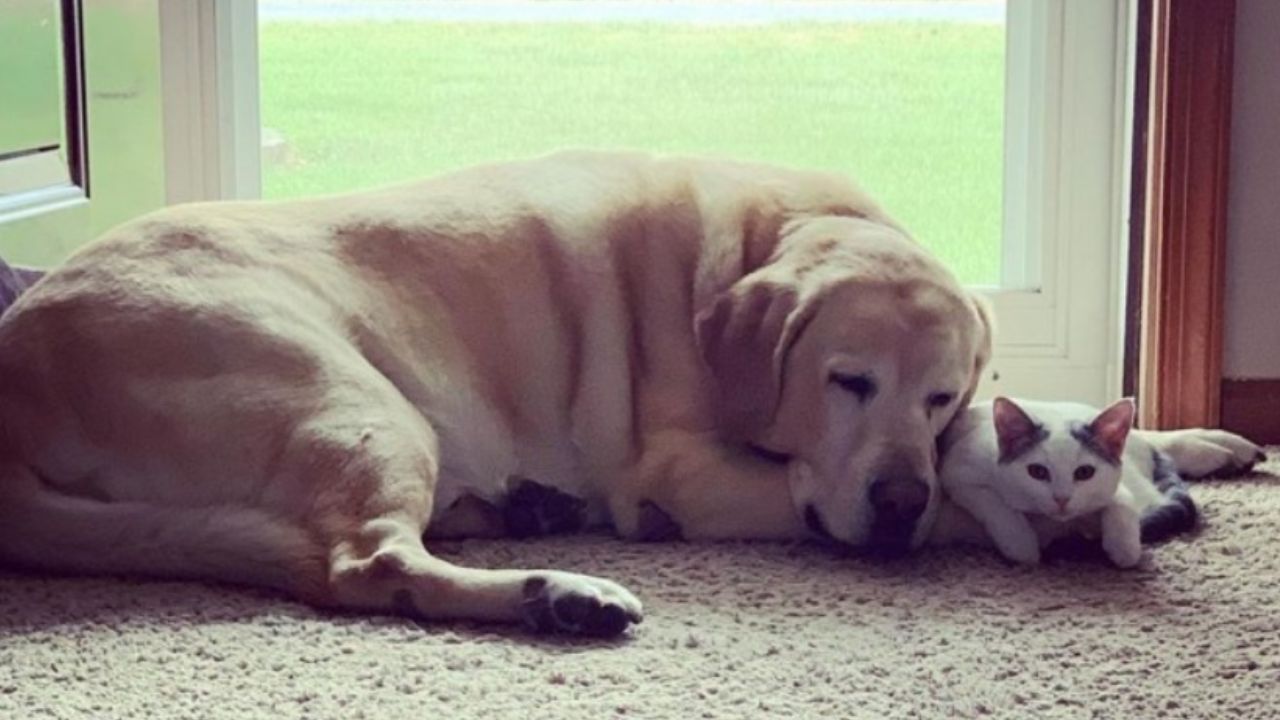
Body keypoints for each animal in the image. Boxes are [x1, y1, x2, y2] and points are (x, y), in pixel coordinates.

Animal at [936, 392, 1182, 566]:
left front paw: (1124, 546)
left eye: (1084, 472)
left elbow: (1122, 500)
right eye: (1037, 471)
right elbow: (995, 504)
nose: (1061, 499)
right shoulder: (957, 471)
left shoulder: (1115, 484)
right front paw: (1021, 543)